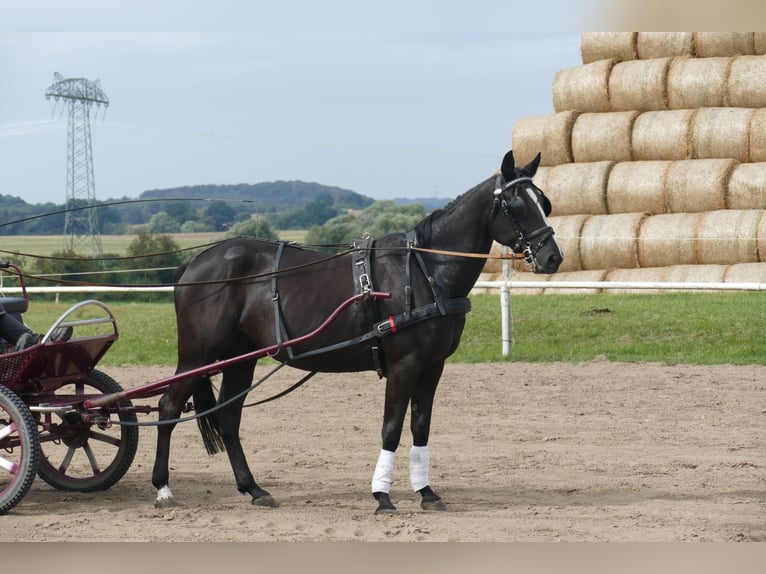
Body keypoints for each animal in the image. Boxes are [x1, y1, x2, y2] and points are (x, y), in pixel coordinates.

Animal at [151, 149, 563, 513]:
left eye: (544, 201)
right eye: (517, 205)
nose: (552, 257)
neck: (424, 270)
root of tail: (194, 262)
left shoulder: (432, 367)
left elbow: (421, 427)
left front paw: (427, 492)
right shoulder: (404, 365)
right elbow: (391, 429)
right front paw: (382, 496)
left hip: (240, 357)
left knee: (229, 417)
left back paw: (252, 489)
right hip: (199, 354)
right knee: (168, 406)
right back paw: (163, 488)